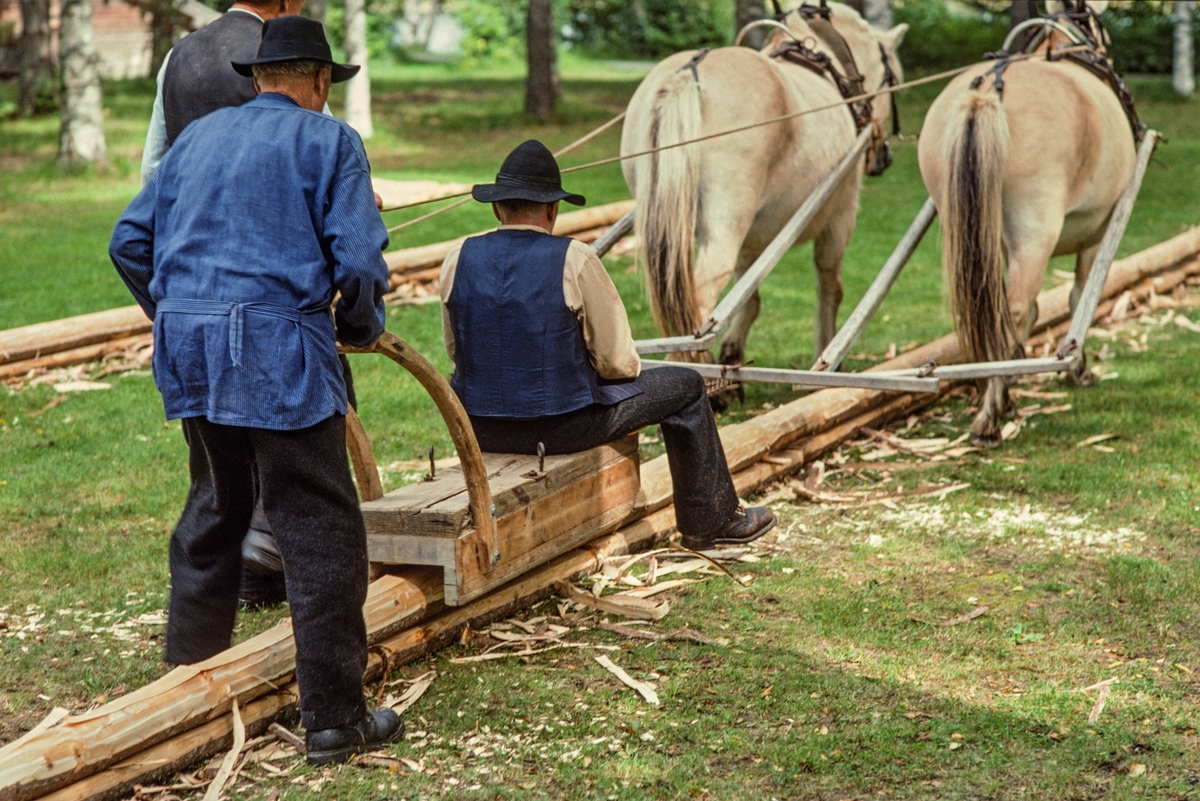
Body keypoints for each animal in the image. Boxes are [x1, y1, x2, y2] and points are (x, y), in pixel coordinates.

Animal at [916, 0, 1132, 448]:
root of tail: (987, 91)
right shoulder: (1097, 234)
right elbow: (1078, 299)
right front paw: (1076, 368)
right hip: (1036, 231)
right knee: (1015, 307)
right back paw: (990, 416)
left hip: (964, 229)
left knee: (987, 307)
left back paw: (993, 392)